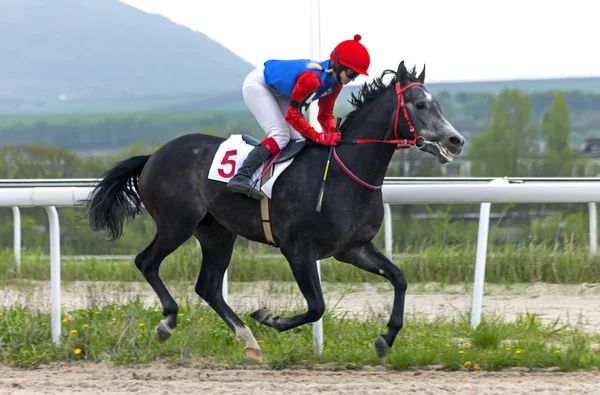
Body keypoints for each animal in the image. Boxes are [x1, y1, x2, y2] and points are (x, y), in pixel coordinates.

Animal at [86, 60, 466, 364]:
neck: (345, 174)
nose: (455, 140)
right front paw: (271, 318)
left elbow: (400, 278)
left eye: (438, 103)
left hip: (217, 232)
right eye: (420, 104)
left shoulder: (353, 249)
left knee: (208, 286)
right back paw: (168, 323)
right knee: (147, 262)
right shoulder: (297, 250)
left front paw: (385, 339)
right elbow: (317, 306)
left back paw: (249, 342)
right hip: (177, 223)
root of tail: (154, 155)